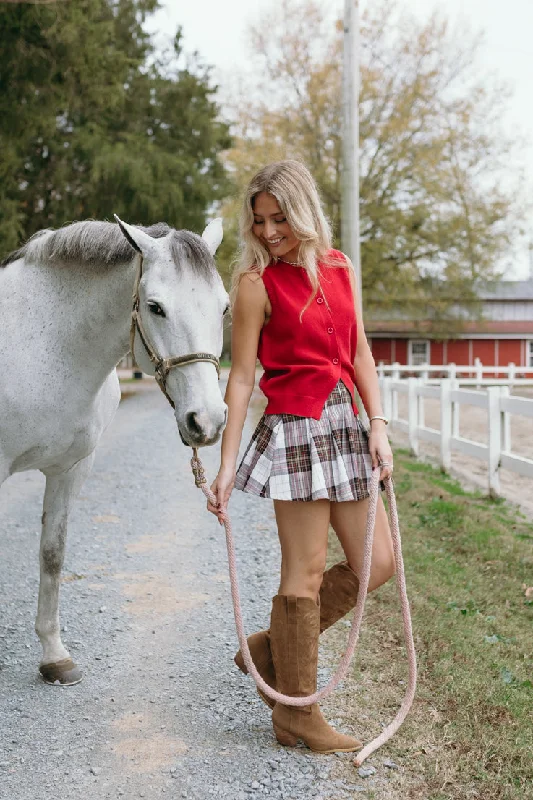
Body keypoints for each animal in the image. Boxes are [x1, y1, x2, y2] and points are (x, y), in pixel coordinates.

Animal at [0, 216, 227, 684]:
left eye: (224, 308)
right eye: (156, 307)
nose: (208, 421)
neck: (46, 346)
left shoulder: (70, 470)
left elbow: (53, 555)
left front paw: (55, 656)